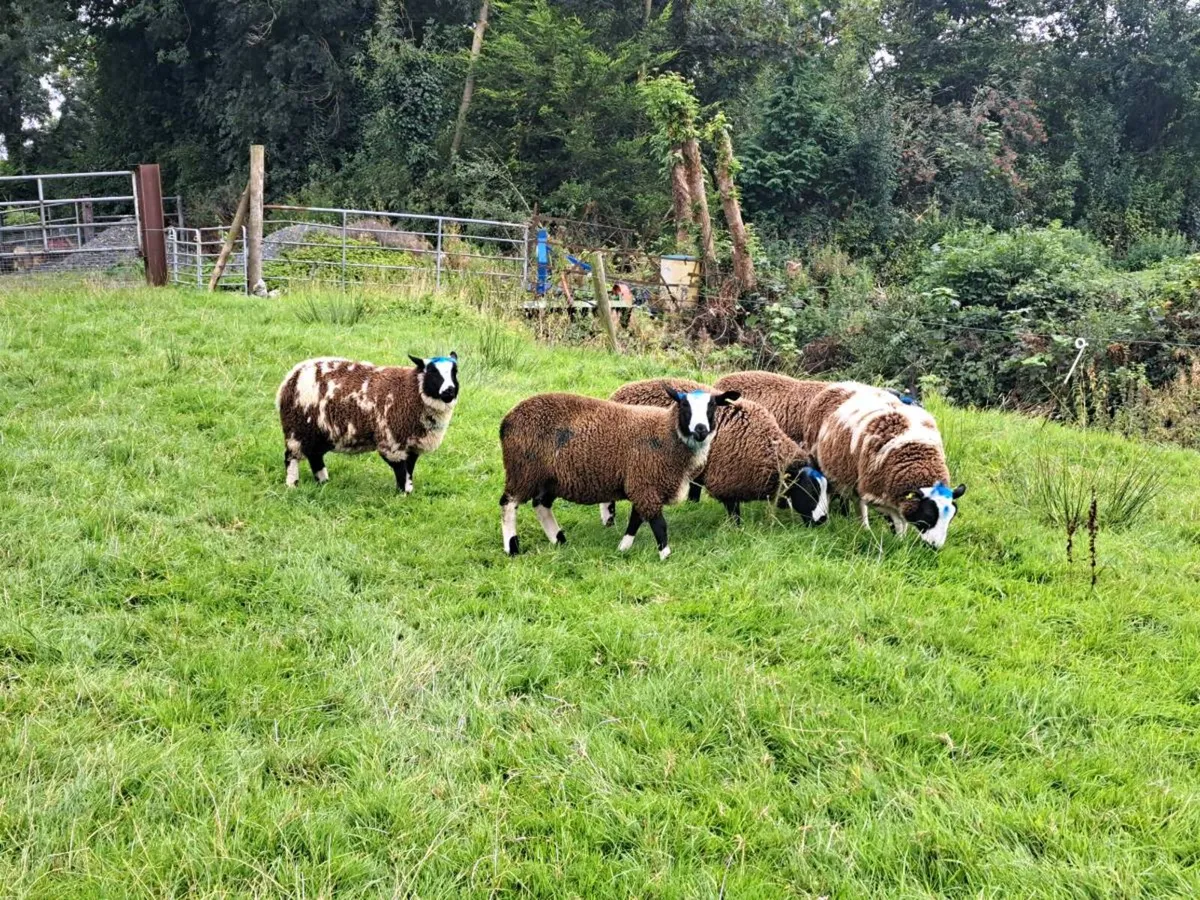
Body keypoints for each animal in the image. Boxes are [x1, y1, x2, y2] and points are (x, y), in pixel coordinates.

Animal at [276, 353, 458, 492]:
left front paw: (409, 490)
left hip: (319, 431)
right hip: (297, 428)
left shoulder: (412, 445)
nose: (449, 390)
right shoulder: (391, 441)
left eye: (455, 372)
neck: (411, 390)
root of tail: (291, 376)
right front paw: (402, 494)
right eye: (433, 373)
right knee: (291, 457)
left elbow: (409, 469)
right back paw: (292, 485)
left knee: (315, 456)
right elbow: (401, 469)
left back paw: (323, 482)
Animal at [499, 388, 740, 559]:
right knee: (508, 504)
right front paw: (666, 555)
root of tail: (506, 420)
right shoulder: (645, 482)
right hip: (523, 470)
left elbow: (636, 519)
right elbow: (658, 523)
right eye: (684, 405)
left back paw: (559, 540)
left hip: (551, 478)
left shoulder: (642, 483)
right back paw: (513, 548)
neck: (667, 433)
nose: (700, 429)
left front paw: (623, 547)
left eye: (712, 406)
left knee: (541, 505)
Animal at [604, 378, 829, 526]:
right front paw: (736, 530)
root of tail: (617, 394)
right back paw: (610, 521)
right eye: (810, 490)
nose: (823, 519)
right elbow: (733, 510)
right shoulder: (726, 480)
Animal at [802, 381, 966, 548]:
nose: (935, 547)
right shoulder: (876, 493)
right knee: (833, 492)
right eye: (928, 515)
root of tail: (842, 384)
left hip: (851, 473)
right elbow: (898, 521)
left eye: (951, 517)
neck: (918, 457)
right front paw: (900, 541)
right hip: (823, 463)